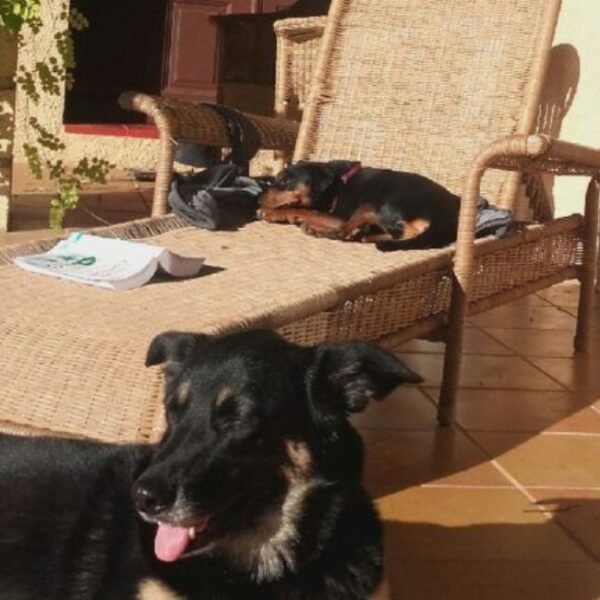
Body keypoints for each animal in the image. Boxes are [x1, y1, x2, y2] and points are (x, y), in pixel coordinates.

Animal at [258, 161, 460, 250]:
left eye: (285, 181)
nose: (259, 197)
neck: (338, 183)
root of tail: (446, 216)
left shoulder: (340, 217)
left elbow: (303, 209)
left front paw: (270, 212)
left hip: (372, 205)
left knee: (343, 232)